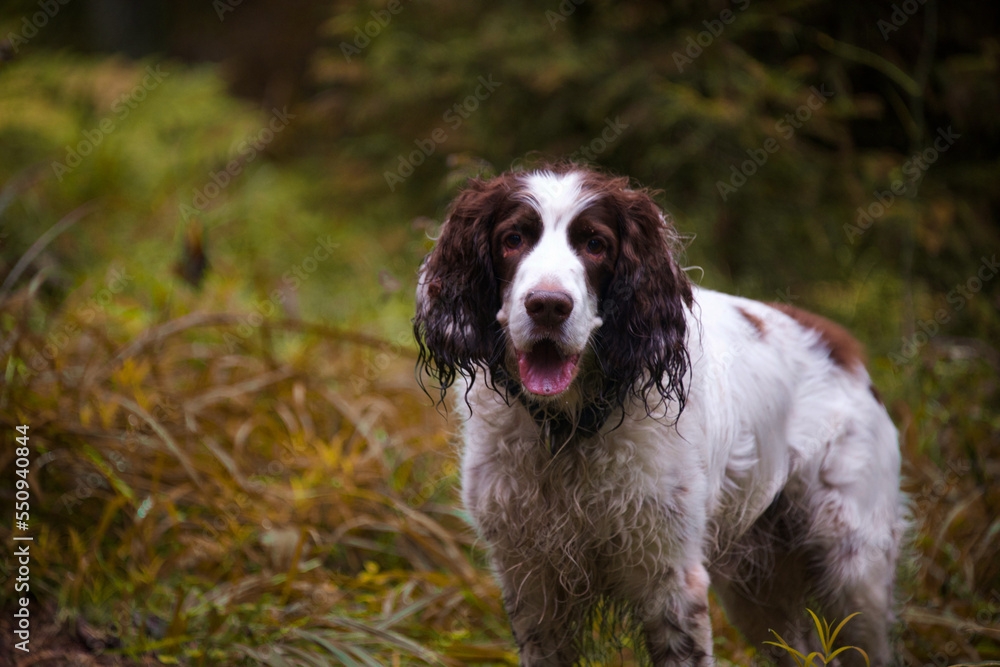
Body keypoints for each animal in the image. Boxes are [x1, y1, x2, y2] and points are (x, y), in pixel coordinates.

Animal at [410, 167, 904, 667]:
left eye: (595, 244)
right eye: (512, 238)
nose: (548, 305)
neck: (569, 430)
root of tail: (843, 348)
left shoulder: (671, 581)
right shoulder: (530, 586)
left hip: (852, 571)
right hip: (757, 588)